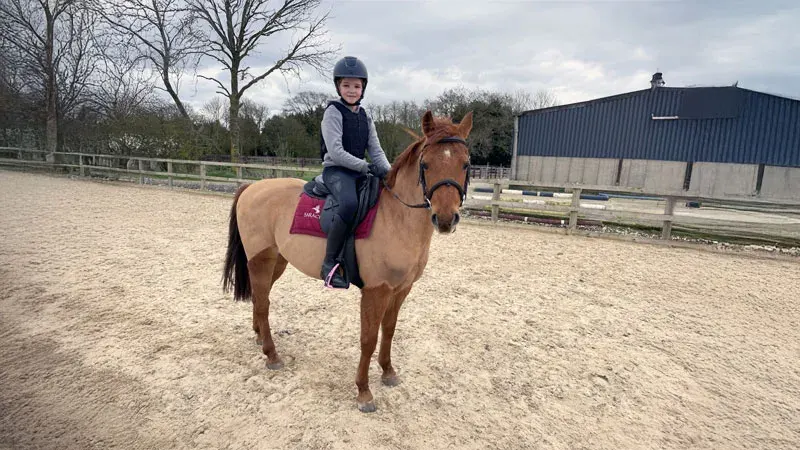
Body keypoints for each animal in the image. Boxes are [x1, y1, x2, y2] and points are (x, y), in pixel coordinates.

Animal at [221, 110, 473, 412]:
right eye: (425, 165)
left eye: (465, 164)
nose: (445, 219)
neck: (396, 217)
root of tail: (251, 187)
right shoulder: (376, 291)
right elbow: (368, 339)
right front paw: (364, 391)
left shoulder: (401, 289)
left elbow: (389, 331)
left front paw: (388, 372)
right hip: (262, 260)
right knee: (263, 302)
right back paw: (271, 355)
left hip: (277, 261)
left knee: (260, 300)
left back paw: (260, 337)